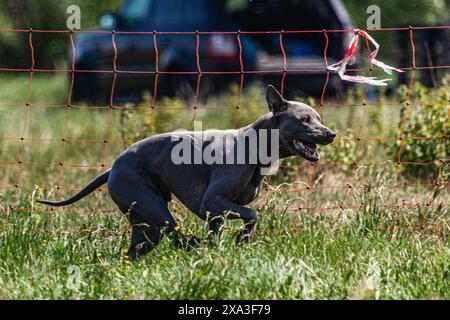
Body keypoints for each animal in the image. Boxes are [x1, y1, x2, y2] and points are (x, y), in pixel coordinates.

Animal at [37, 85, 334, 260]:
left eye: (319, 118)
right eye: (305, 120)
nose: (331, 133)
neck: (254, 145)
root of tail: (112, 168)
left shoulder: (217, 214)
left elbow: (224, 230)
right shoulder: (212, 202)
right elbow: (252, 214)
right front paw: (242, 238)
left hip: (145, 224)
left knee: (138, 249)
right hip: (154, 207)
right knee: (175, 233)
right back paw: (193, 243)